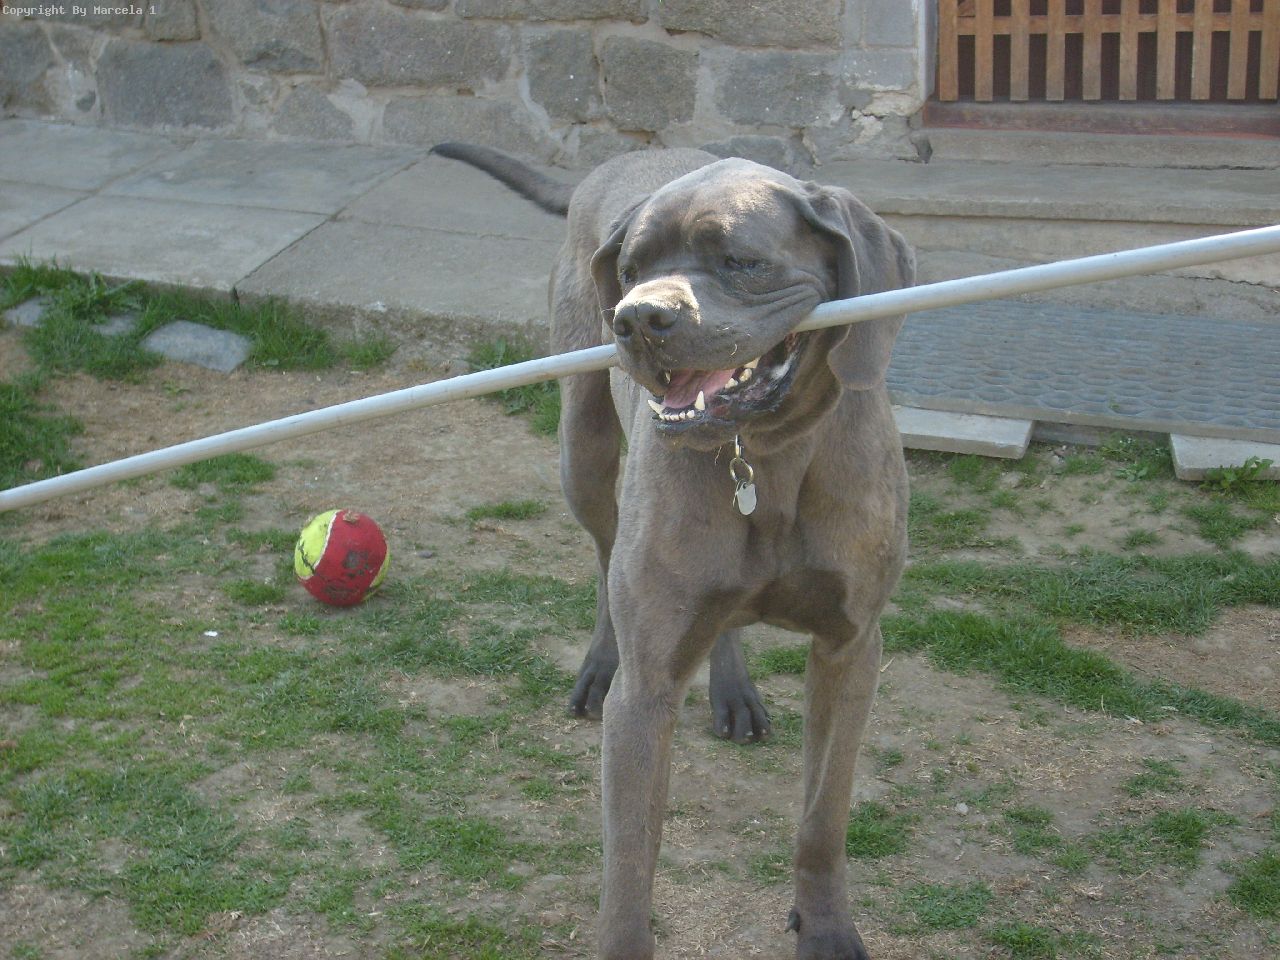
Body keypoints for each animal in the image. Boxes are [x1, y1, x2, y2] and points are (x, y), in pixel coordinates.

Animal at [433, 142, 914, 960]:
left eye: (741, 261)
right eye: (630, 268)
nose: (639, 318)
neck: (766, 454)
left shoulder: (851, 648)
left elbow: (824, 814)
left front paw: (825, 927)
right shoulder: (647, 690)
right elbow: (629, 864)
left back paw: (733, 689)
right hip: (583, 448)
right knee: (604, 555)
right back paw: (600, 661)